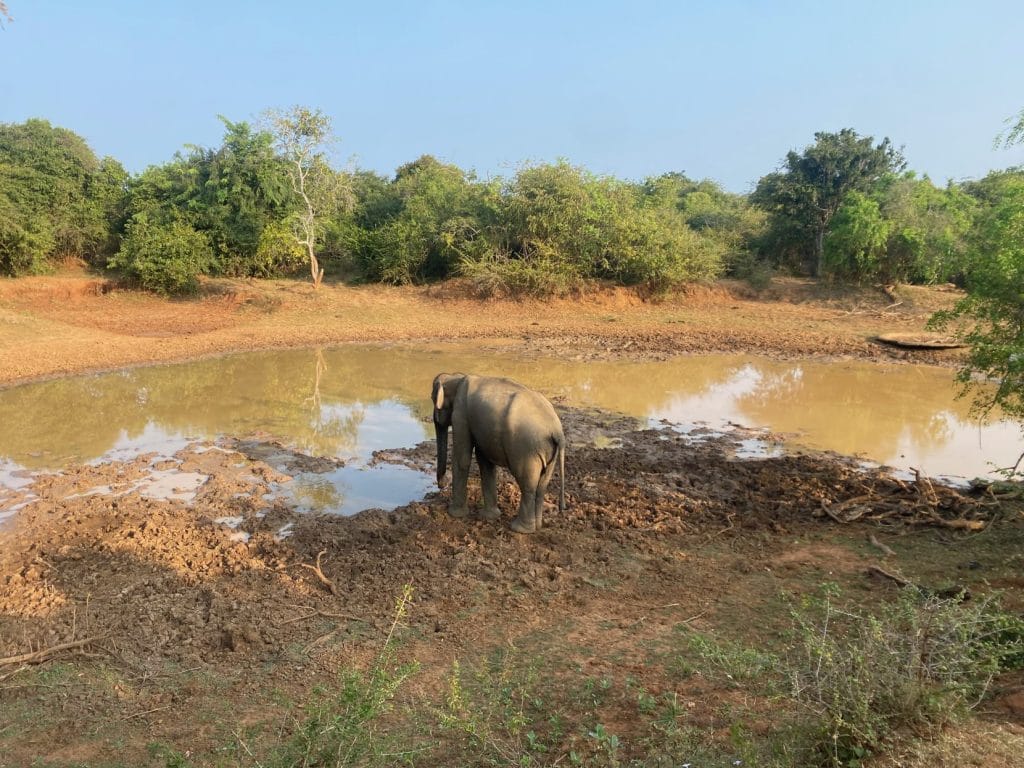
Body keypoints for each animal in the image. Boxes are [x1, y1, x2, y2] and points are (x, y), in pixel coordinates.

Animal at [428, 374, 565, 536]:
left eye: (432, 399)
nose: (441, 485)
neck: (456, 377)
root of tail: (557, 431)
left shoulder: (461, 414)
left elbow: (462, 459)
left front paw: (454, 514)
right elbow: (485, 462)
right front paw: (489, 516)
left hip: (527, 450)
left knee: (527, 484)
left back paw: (520, 529)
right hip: (548, 452)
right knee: (542, 485)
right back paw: (537, 526)